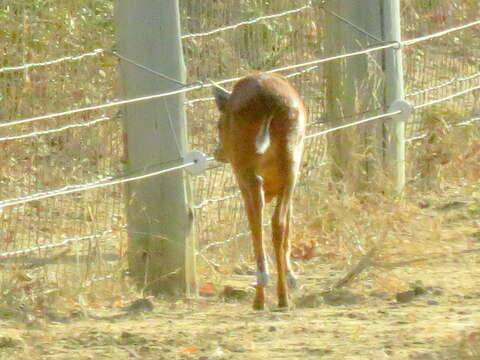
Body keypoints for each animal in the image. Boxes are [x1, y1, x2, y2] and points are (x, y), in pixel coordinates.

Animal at [212, 72, 306, 310]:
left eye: (218, 125)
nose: (218, 152)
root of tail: (269, 101)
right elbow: (288, 224)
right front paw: (290, 284)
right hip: (292, 161)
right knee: (278, 223)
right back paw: (283, 296)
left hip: (245, 167)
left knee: (257, 219)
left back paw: (260, 292)